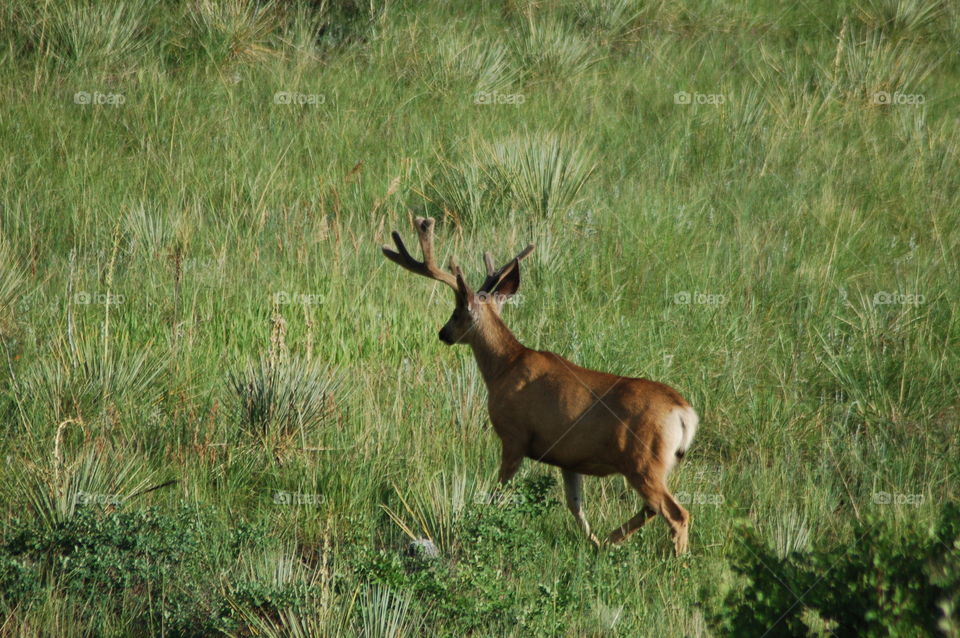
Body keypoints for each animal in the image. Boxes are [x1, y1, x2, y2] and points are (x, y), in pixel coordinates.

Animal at [382, 217, 699, 556]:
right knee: (652, 509)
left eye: (456, 313)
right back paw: (611, 540)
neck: (504, 366)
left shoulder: (514, 436)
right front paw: (593, 541)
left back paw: (676, 560)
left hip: (643, 460)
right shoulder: (569, 457)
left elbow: (498, 493)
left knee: (677, 513)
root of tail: (684, 412)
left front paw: (479, 527)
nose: (443, 333)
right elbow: (576, 505)